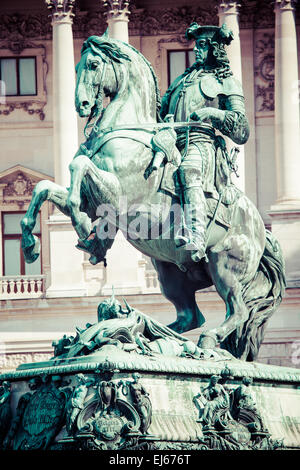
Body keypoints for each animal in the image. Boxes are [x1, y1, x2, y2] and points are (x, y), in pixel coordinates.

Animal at [20, 34, 284, 360]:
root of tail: (261, 229)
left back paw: (201, 340)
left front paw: (82, 226)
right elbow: (44, 187)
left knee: (237, 310)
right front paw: (31, 243)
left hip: (225, 266)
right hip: (169, 272)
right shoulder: (93, 198)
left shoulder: (117, 193)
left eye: (93, 64)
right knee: (190, 317)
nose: (81, 105)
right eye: (77, 66)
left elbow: (78, 167)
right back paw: (150, 333)